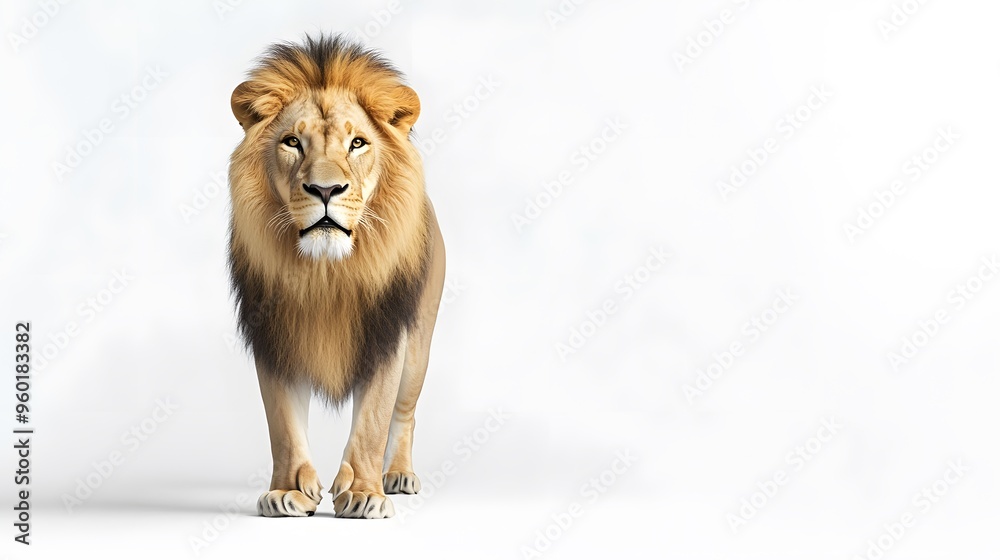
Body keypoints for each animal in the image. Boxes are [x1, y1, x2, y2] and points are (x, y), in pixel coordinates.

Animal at [227, 35, 445, 519]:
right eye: (292, 142)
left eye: (357, 143)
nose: (325, 190)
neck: (325, 274)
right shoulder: (274, 334)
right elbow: (283, 425)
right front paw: (288, 491)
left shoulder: (388, 334)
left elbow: (373, 419)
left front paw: (364, 494)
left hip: (420, 343)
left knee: (406, 411)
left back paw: (398, 475)